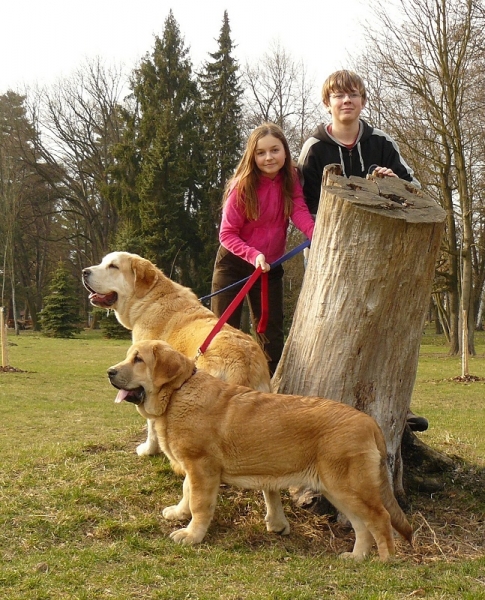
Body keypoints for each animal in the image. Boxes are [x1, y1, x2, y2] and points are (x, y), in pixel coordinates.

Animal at [84, 250, 272, 454]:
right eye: (103, 262)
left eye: (113, 266)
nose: (84, 272)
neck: (149, 299)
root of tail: (243, 363)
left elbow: (150, 424)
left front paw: (148, 450)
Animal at [107, 342, 412, 564]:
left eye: (138, 359)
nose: (110, 372)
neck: (178, 393)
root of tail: (369, 422)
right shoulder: (195, 468)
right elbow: (186, 491)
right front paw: (180, 513)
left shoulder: (202, 468)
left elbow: (199, 504)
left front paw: (193, 535)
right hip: (338, 490)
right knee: (362, 526)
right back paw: (357, 557)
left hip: (349, 487)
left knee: (380, 519)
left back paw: (385, 561)